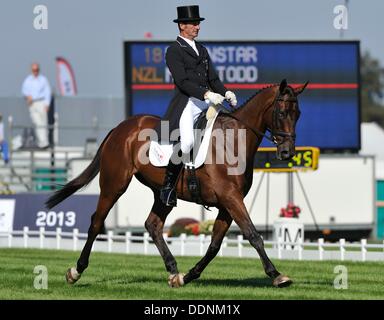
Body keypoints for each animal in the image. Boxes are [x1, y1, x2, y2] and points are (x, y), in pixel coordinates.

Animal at [45, 79, 308, 288]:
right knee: (96, 223)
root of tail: (120, 128)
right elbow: (253, 235)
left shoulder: (227, 203)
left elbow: (214, 244)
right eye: (282, 113)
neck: (233, 141)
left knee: (153, 225)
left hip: (163, 193)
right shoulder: (230, 198)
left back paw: (173, 271)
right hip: (113, 185)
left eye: (298, 115)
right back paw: (76, 271)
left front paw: (188, 276)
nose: (287, 153)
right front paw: (277, 275)